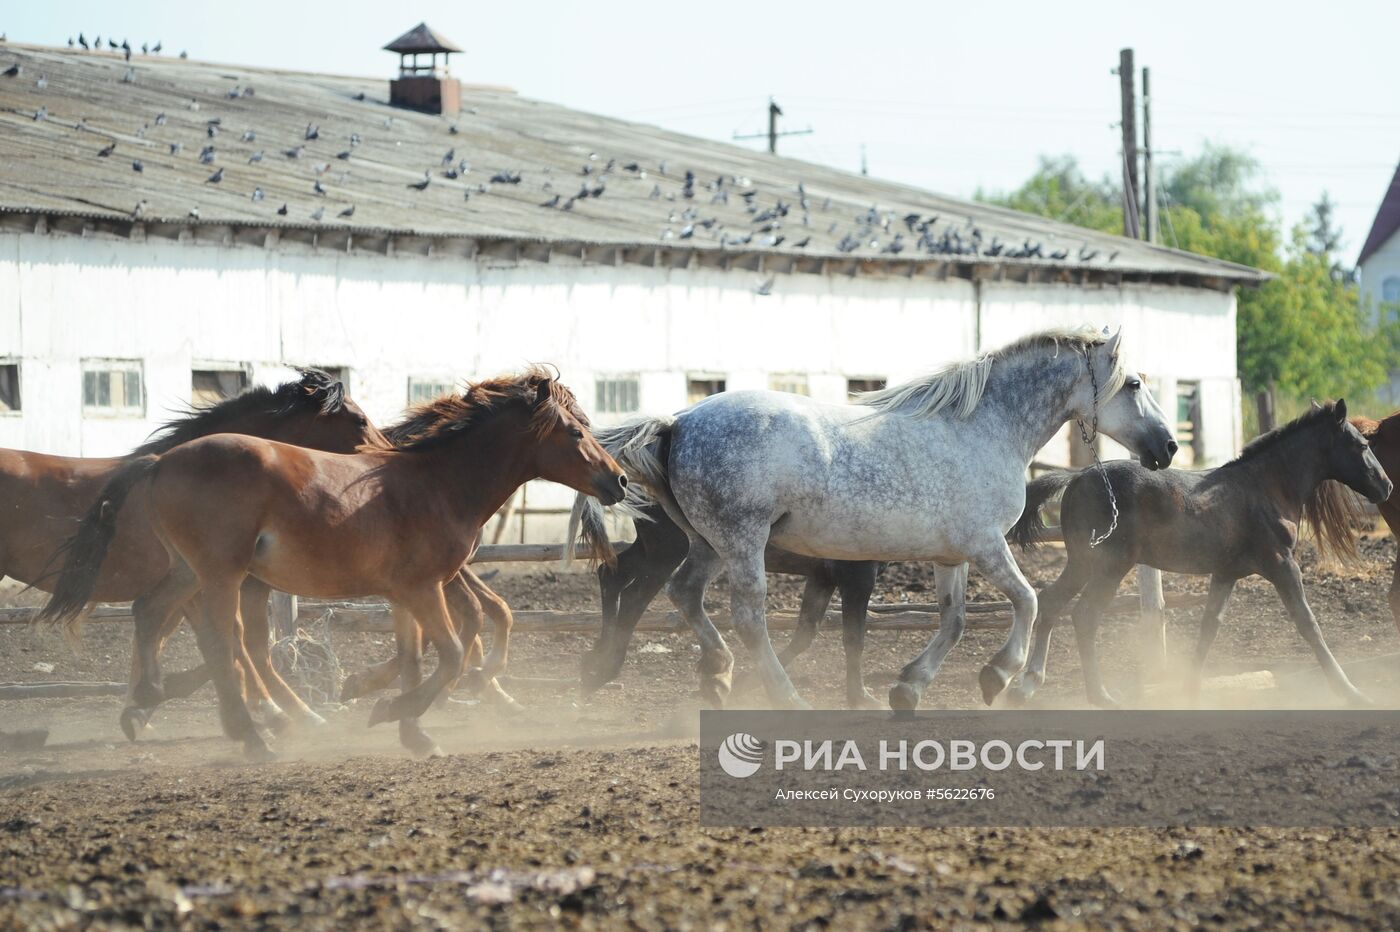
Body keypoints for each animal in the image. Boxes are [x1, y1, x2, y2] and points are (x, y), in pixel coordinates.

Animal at [4, 369, 383, 727]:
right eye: (359, 420)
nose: (385, 455)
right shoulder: (206, 584)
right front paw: (282, 711)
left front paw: (143, 706)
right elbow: (235, 641)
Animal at [43, 366, 624, 761]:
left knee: (150, 611)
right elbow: (454, 655)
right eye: (576, 432)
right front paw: (391, 711)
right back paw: (254, 736)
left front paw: (411, 730)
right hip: (222, 576)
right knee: (223, 646)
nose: (617, 481)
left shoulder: (406, 594)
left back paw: (148, 700)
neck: (437, 483)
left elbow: (415, 658)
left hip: (190, 572)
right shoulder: (422, 589)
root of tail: (161, 461)